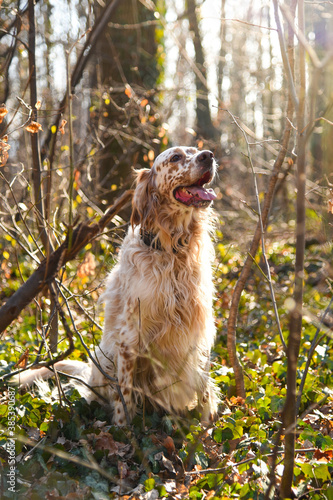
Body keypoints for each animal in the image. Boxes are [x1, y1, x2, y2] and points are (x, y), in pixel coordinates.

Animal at [19, 146, 219, 424]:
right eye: (175, 157)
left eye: (195, 151)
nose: (208, 155)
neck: (172, 250)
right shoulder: (129, 339)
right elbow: (124, 398)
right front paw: (123, 430)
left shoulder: (199, 330)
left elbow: (204, 387)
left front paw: (206, 428)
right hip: (105, 359)